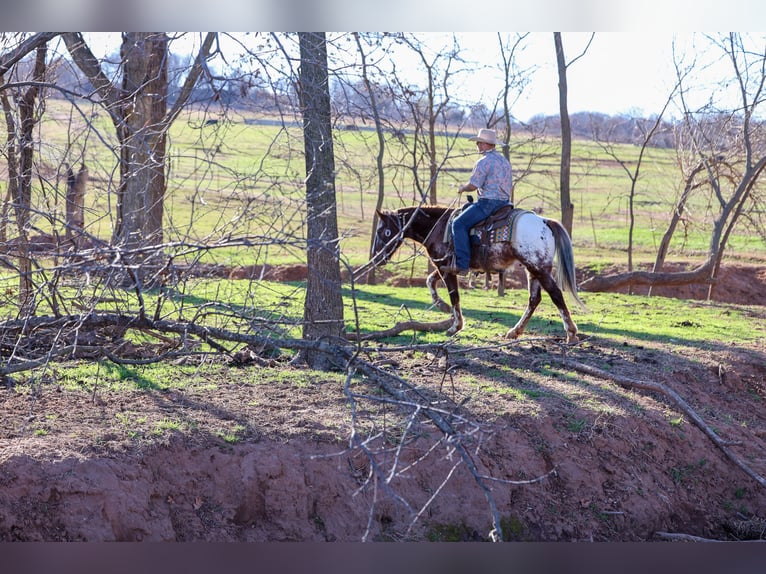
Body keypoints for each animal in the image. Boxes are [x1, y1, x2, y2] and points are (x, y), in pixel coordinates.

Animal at [366, 205, 585, 344]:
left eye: (383, 232)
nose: (376, 258)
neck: (438, 227)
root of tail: (545, 222)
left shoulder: (446, 267)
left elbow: (454, 295)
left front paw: (455, 326)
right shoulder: (445, 266)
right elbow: (430, 281)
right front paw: (442, 306)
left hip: (538, 268)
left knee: (555, 295)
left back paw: (571, 333)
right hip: (533, 270)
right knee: (534, 299)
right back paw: (515, 331)